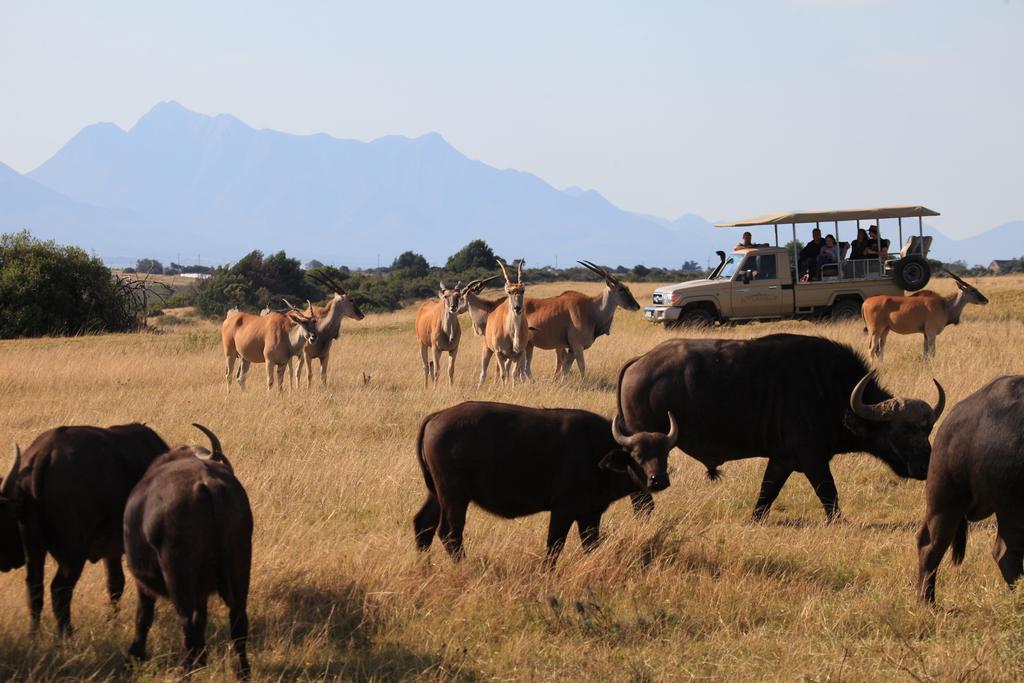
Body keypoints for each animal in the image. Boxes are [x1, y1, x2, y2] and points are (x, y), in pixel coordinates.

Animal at [0, 421, 169, 634]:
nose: (5, 562)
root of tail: (45, 453)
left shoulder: (112, 551)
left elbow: (115, 583)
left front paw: (112, 622)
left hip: (34, 547)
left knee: (35, 587)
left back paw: (34, 634)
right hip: (73, 555)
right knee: (59, 590)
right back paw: (67, 633)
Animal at [123, 423, 253, 675]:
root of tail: (206, 484)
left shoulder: (142, 581)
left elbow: (143, 616)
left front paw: (136, 654)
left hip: (176, 571)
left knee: (189, 620)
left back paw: (184, 670)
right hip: (240, 564)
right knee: (238, 619)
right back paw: (242, 672)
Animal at [411, 401, 675, 565]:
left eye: (665, 453)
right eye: (637, 455)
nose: (658, 480)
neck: (595, 451)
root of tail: (436, 417)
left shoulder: (590, 514)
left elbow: (591, 545)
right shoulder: (563, 510)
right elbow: (554, 546)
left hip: (436, 494)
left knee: (423, 525)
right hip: (454, 496)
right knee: (450, 533)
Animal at [614, 333, 942, 520]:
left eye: (928, 431)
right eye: (903, 431)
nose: (927, 466)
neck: (829, 391)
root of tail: (640, 362)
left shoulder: (782, 460)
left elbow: (766, 494)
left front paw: (754, 520)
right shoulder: (813, 460)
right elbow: (829, 494)